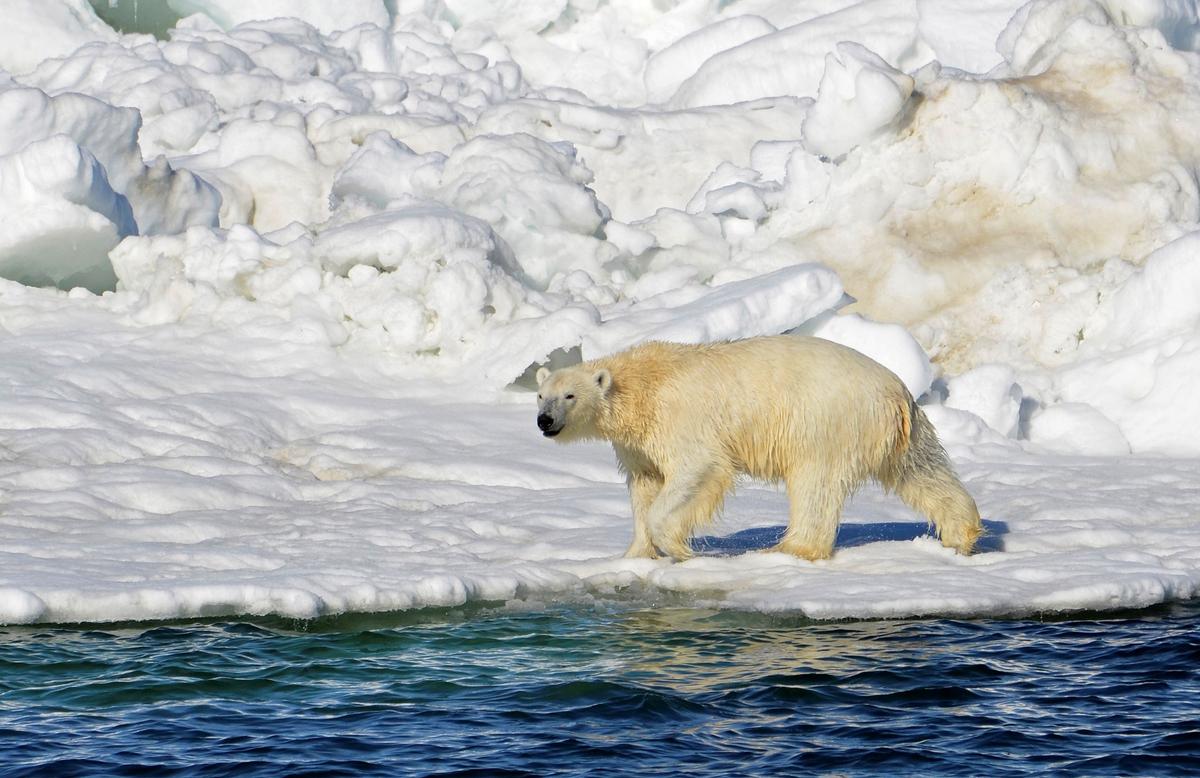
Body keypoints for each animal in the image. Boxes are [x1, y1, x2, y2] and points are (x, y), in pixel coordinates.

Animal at [535, 335, 982, 561]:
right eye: (541, 395)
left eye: (570, 395)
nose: (545, 421)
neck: (643, 385)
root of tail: (895, 392)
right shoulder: (638, 444)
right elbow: (644, 486)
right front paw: (635, 554)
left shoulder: (681, 420)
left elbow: (698, 470)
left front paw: (679, 548)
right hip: (900, 431)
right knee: (922, 471)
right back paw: (961, 534)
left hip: (825, 421)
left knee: (815, 484)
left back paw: (789, 548)